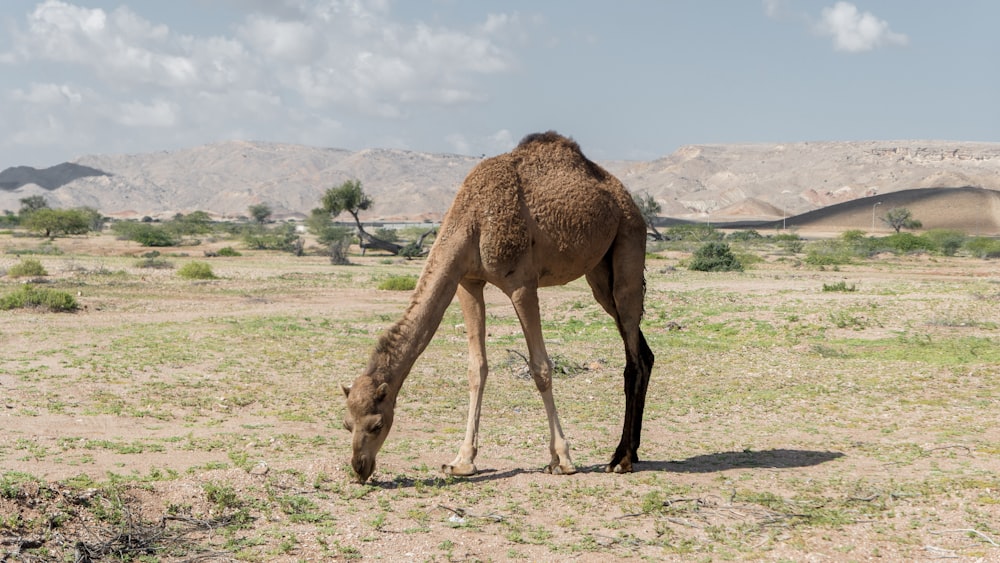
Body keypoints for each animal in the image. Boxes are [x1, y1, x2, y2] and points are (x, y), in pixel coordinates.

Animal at [344, 131, 656, 484]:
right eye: (346, 423)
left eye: (377, 424)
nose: (359, 467)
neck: (473, 220)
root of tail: (625, 198)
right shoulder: (468, 282)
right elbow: (476, 368)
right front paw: (461, 461)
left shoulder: (522, 283)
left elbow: (541, 368)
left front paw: (562, 458)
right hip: (599, 273)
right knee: (643, 351)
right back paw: (631, 452)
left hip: (629, 242)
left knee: (632, 357)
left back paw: (621, 459)